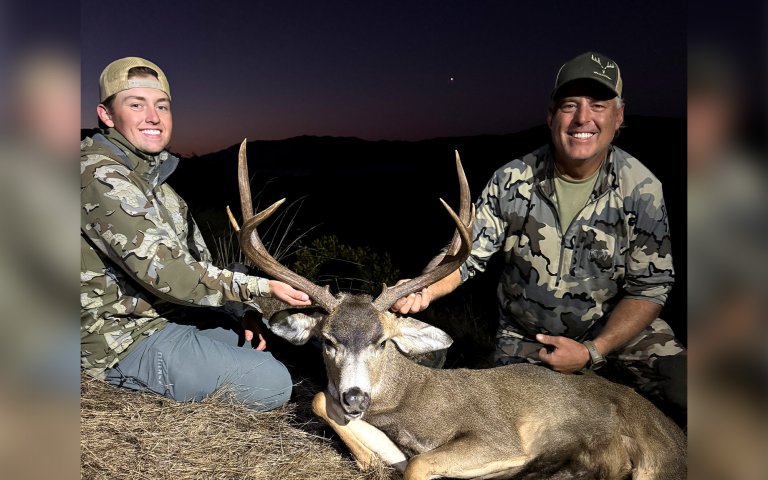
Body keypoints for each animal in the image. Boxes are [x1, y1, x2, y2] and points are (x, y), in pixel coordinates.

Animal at [226, 139, 687, 480]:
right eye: (326, 341)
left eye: (382, 342)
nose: (355, 397)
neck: (413, 400)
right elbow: (326, 404)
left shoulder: (497, 436)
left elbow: (419, 464)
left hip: (657, 460)